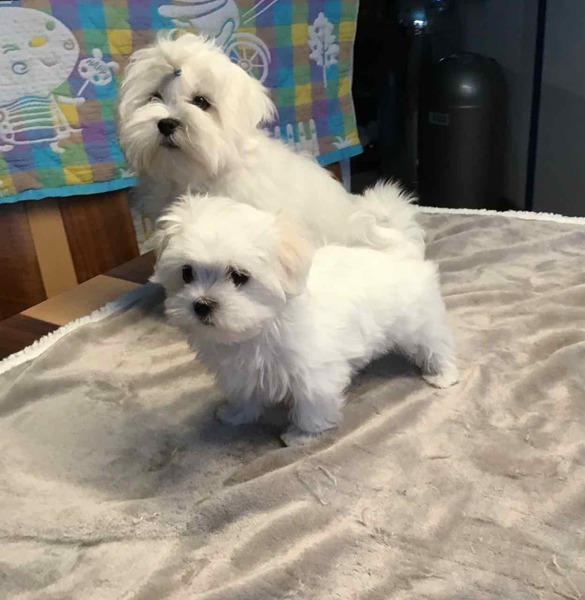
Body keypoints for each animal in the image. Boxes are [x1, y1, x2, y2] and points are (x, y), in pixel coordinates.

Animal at [152, 194, 459, 445]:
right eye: (187, 273)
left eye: (239, 276)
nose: (201, 304)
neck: (259, 329)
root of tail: (399, 252)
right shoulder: (238, 372)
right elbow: (244, 393)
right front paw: (237, 414)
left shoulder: (313, 370)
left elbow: (311, 401)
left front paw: (303, 434)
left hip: (417, 323)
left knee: (436, 344)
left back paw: (443, 375)